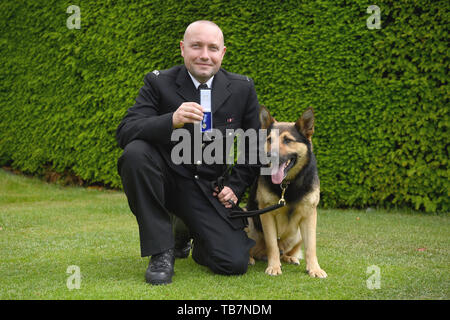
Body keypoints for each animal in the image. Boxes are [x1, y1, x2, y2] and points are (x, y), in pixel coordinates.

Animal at [246, 105, 326, 278]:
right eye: (269, 140)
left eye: (288, 140)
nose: (270, 155)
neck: (287, 184)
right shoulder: (266, 214)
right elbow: (272, 245)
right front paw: (274, 267)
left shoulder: (310, 215)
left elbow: (311, 247)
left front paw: (314, 268)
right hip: (247, 218)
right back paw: (250, 258)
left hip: (297, 234)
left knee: (287, 251)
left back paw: (289, 258)